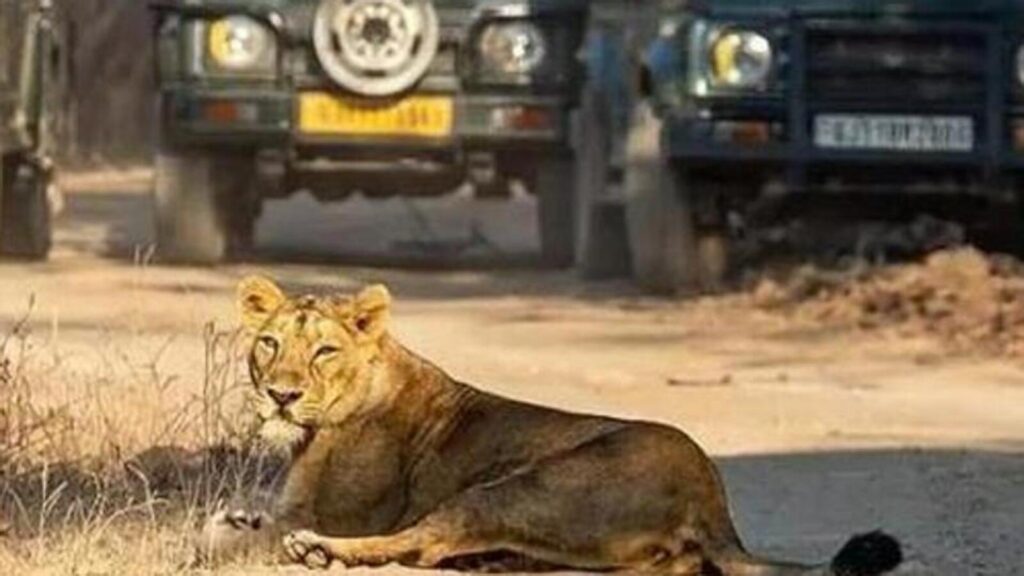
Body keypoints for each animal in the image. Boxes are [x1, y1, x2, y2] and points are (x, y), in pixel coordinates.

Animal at [206, 275, 902, 575]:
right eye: (269, 344)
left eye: (324, 352)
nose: (282, 395)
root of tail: (711, 496)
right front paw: (234, 519)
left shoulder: (343, 513)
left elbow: (240, 538)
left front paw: (244, 538)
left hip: (517, 488)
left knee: (426, 541)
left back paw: (322, 553)